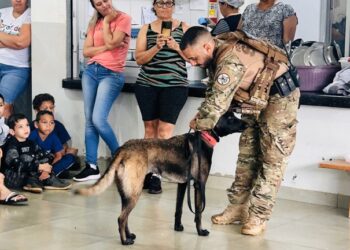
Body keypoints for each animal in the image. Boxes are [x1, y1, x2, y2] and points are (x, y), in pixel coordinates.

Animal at [76, 111, 246, 244]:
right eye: (230, 118)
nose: (246, 123)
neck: (204, 138)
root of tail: (123, 149)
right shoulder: (200, 185)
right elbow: (198, 212)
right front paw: (200, 231)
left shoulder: (182, 185)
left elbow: (179, 210)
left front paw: (178, 228)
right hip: (134, 192)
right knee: (121, 218)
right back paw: (125, 241)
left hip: (128, 193)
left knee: (125, 217)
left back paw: (129, 235)